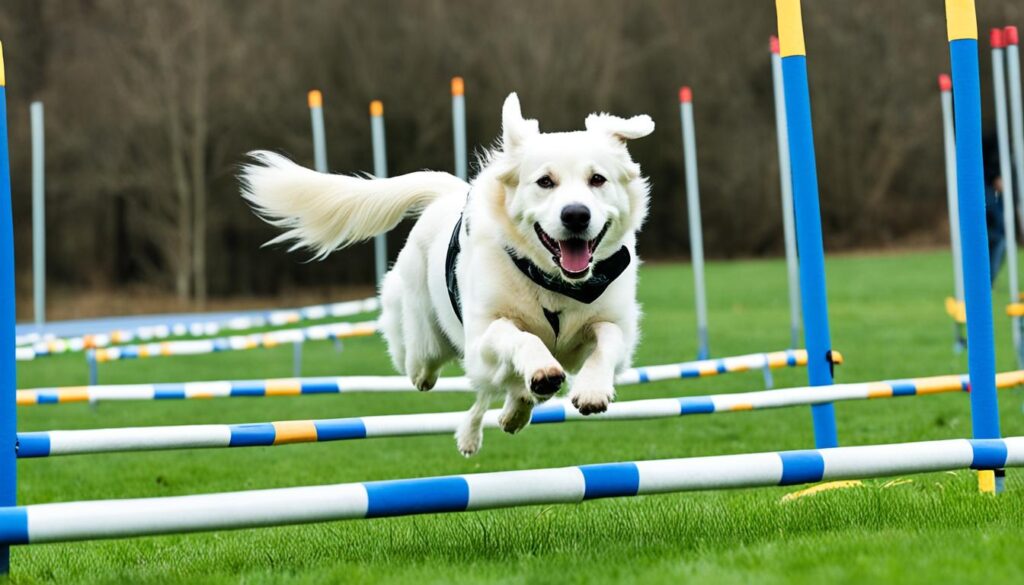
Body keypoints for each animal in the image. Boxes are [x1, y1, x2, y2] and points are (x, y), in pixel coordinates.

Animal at [241, 92, 647, 456]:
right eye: (544, 182)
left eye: (598, 179)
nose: (576, 215)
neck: (555, 283)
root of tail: (448, 193)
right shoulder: (482, 337)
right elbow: (519, 337)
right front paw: (542, 367)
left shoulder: (612, 325)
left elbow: (608, 339)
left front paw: (592, 388)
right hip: (424, 349)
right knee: (435, 372)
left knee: (496, 392)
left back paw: (501, 420)